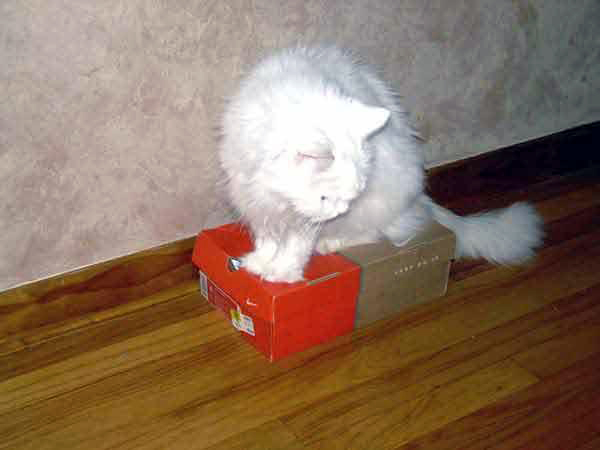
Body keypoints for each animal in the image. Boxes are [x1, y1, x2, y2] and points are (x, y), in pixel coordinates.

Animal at [217, 47, 544, 284]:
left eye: (351, 196)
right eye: (325, 198)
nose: (339, 212)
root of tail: (420, 198)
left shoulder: (304, 222)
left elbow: (295, 247)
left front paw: (281, 274)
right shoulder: (255, 202)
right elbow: (268, 239)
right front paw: (257, 263)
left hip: (381, 203)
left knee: (380, 233)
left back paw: (331, 243)